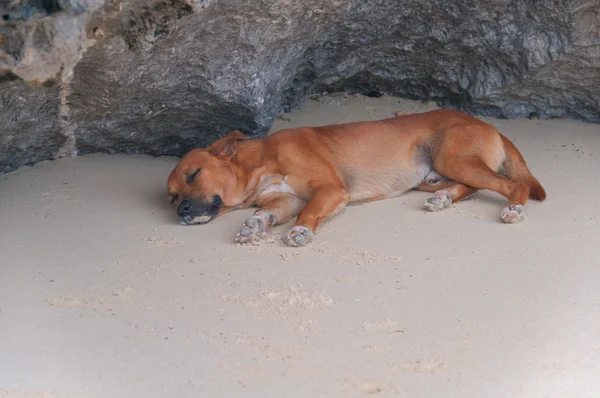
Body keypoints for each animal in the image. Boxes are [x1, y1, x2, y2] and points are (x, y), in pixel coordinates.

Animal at [166, 109, 548, 246]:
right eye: (171, 196)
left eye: (195, 173)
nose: (180, 210)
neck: (260, 163)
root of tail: (488, 124)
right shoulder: (284, 199)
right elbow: (265, 212)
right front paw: (253, 226)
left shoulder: (329, 190)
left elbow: (309, 213)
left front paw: (301, 231)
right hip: (434, 174)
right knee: (472, 185)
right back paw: (442, 199)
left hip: (451, 158)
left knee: (512, 184)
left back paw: (514, 208)